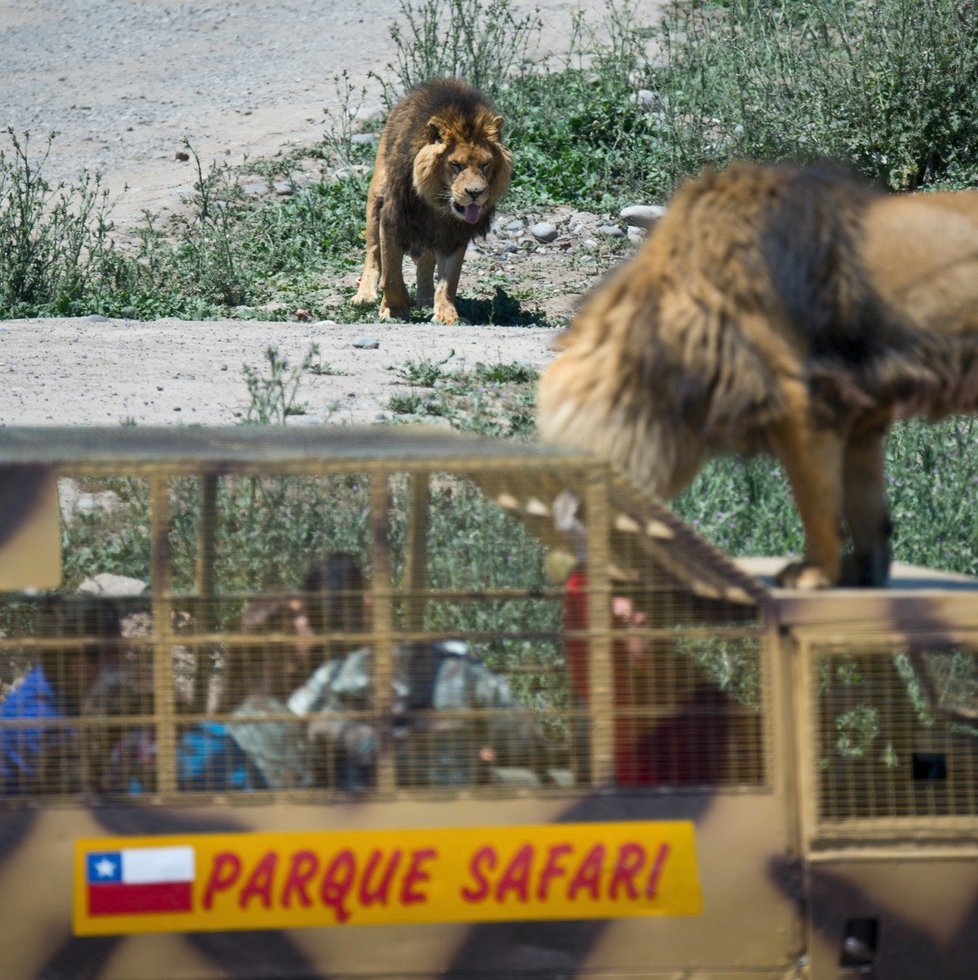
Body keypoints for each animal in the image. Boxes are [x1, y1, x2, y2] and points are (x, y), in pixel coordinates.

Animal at [354, 79, 516, 326]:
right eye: (456, 164)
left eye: (485, 164)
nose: (475, 193)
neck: (438, 206)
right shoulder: (393, 220)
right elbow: (391, 273)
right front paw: (394, 309)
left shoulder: (454, 235)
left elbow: (449, 281)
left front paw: (446, 314)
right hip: (376, 196)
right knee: (373, 251)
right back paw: (365, 295)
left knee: (426, 260)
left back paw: (426, 297)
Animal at [532, 163, 976, 588]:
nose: (555, 567)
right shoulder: (861, 418)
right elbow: (864, 509)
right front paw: (864, 576)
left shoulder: (805, 402)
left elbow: (818, 506)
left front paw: (813, 575)